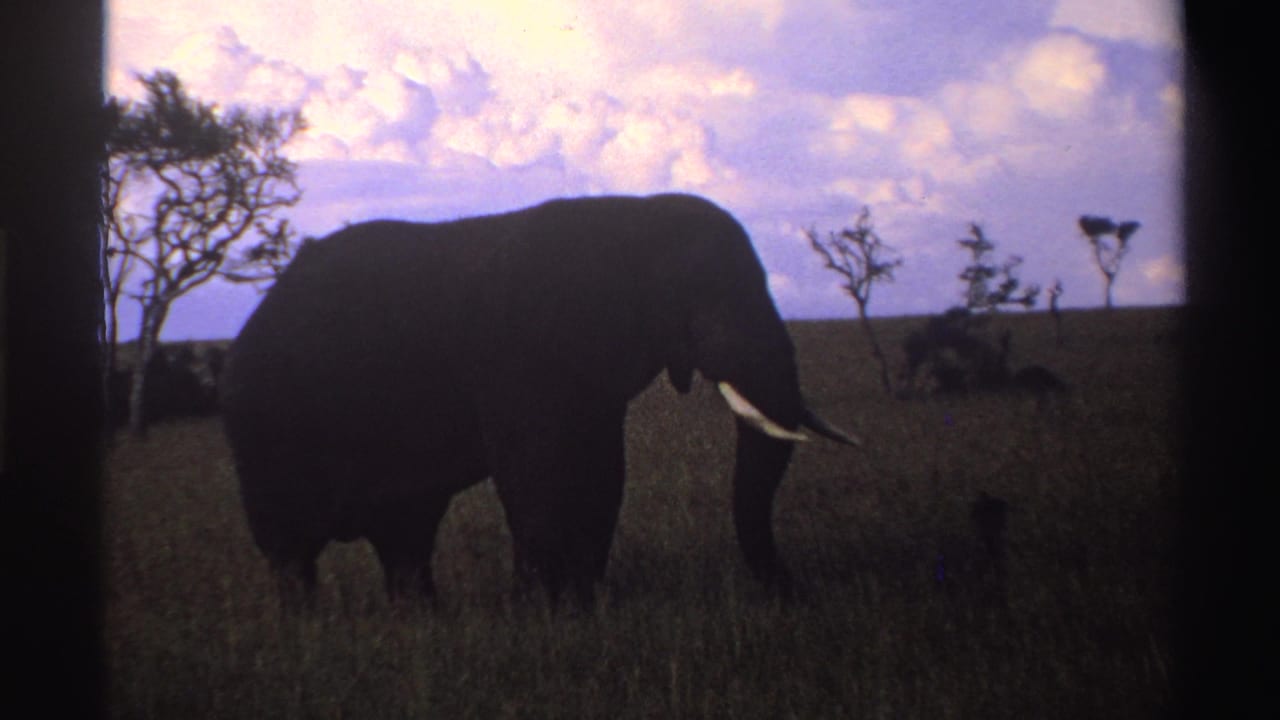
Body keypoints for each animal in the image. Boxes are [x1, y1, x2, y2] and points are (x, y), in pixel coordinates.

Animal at [220, 193, 859, 608]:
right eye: (707, 298)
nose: (794, 594)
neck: (634, 217)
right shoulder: (520, 354)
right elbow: (539, 474)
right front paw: (541, 613)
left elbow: (601, 474)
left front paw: (581, 605)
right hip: (265, 427)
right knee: (291, 548)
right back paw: (308, 628)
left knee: (406, 534)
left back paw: (422, 620)